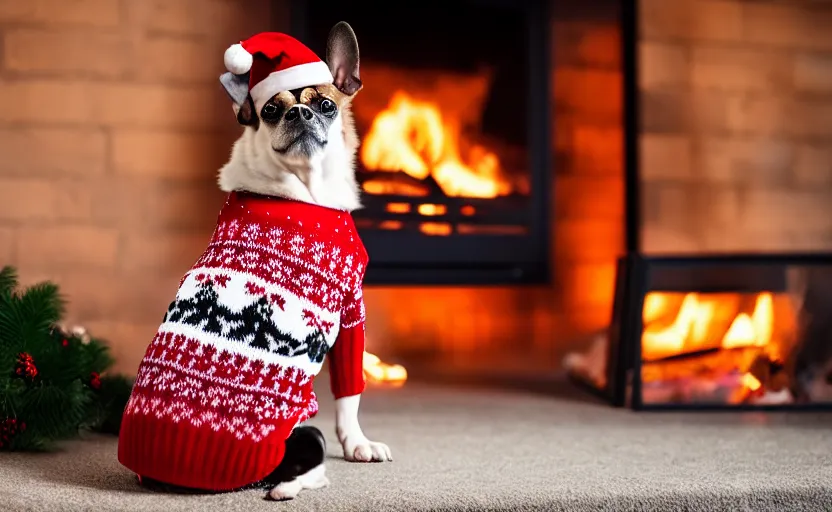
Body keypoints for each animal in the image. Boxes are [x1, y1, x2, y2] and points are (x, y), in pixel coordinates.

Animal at [118, 23, 394, 500]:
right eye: (269, 110)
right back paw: (299, 484)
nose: (299, 114)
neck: (299, 188)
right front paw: (358, 444)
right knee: (300, 463)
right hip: (302, 436)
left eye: (325, 104)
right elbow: (349, 393)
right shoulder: (351, 311)